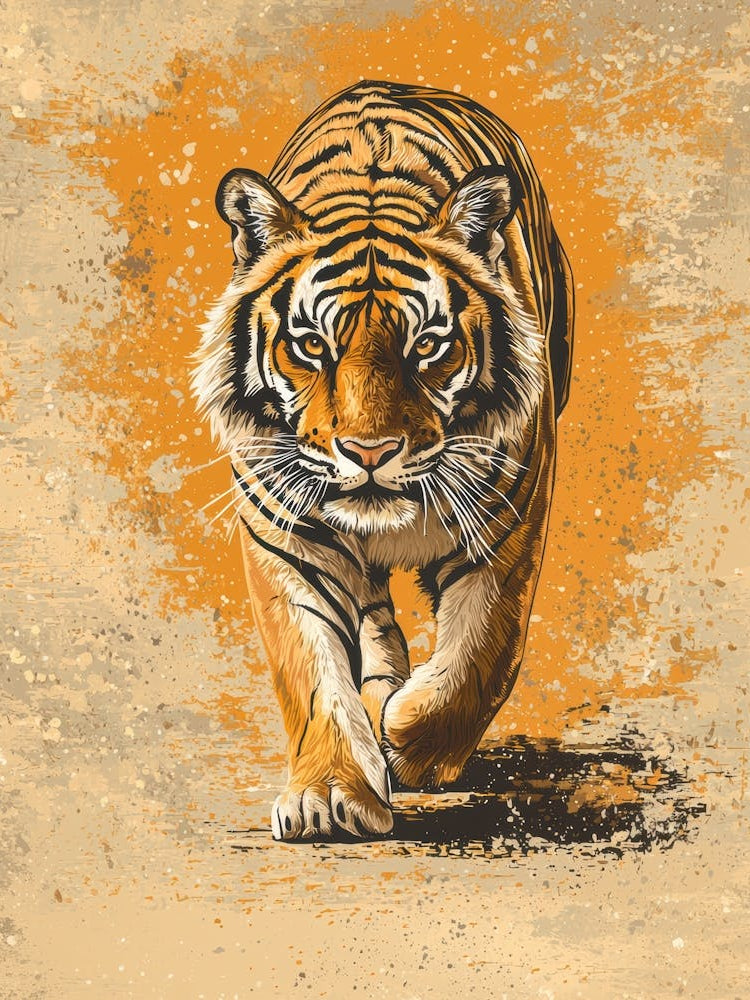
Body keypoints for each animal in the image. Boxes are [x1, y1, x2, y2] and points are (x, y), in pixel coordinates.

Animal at [192, 80, 574, 840]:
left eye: (426, 345)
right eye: (312, 345)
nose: (368, 452)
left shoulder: (510, 520)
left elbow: (476, 660)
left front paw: (408, 745)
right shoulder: (286, 538)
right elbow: (309, 670)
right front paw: (332, 795)